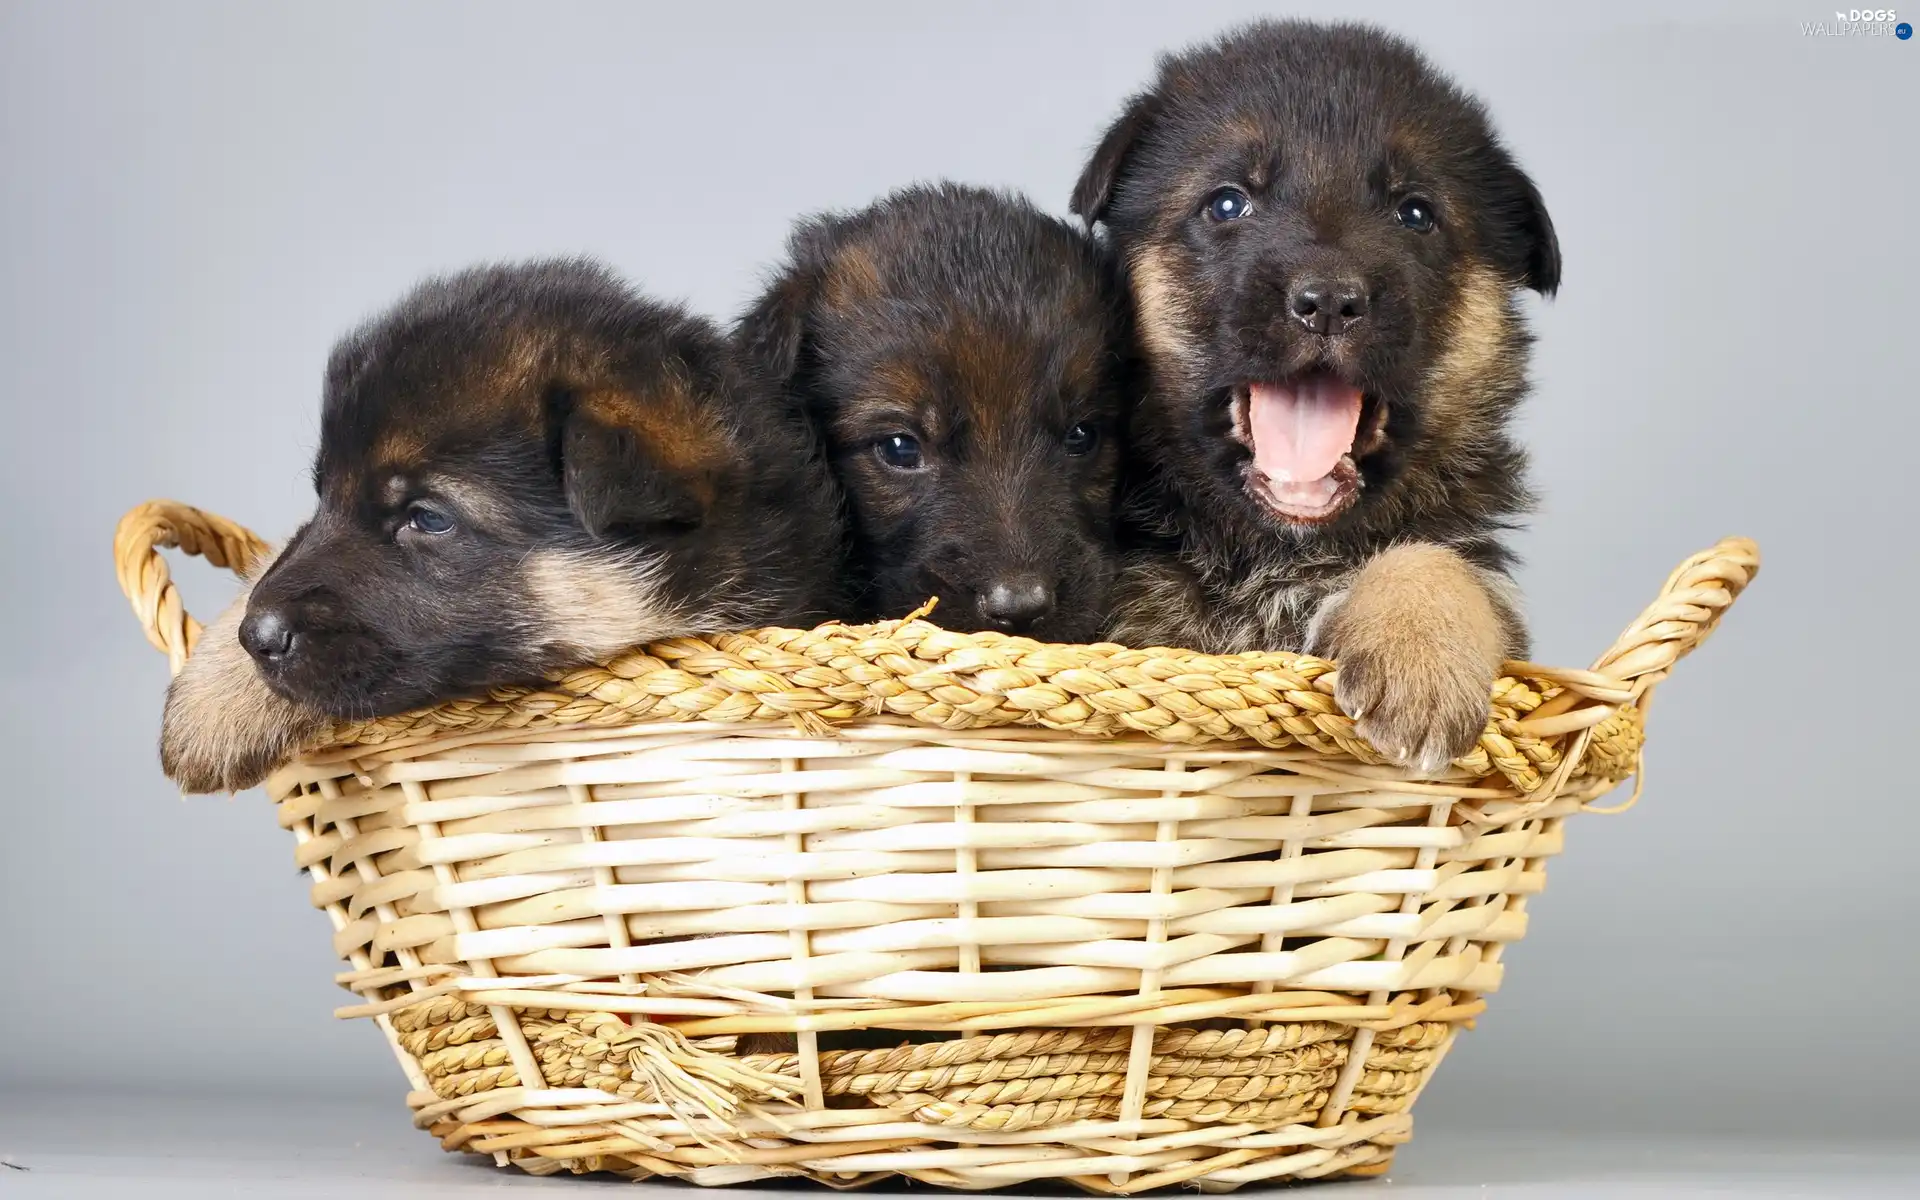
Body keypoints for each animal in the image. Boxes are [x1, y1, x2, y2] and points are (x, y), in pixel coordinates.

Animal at [1075, 21, 1566, 775]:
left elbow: (1438, 560)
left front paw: (1420, 654)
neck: (1273, 554)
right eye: (1227, 202)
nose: (1329, 300)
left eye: (1415, 213)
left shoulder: (1482, 572)